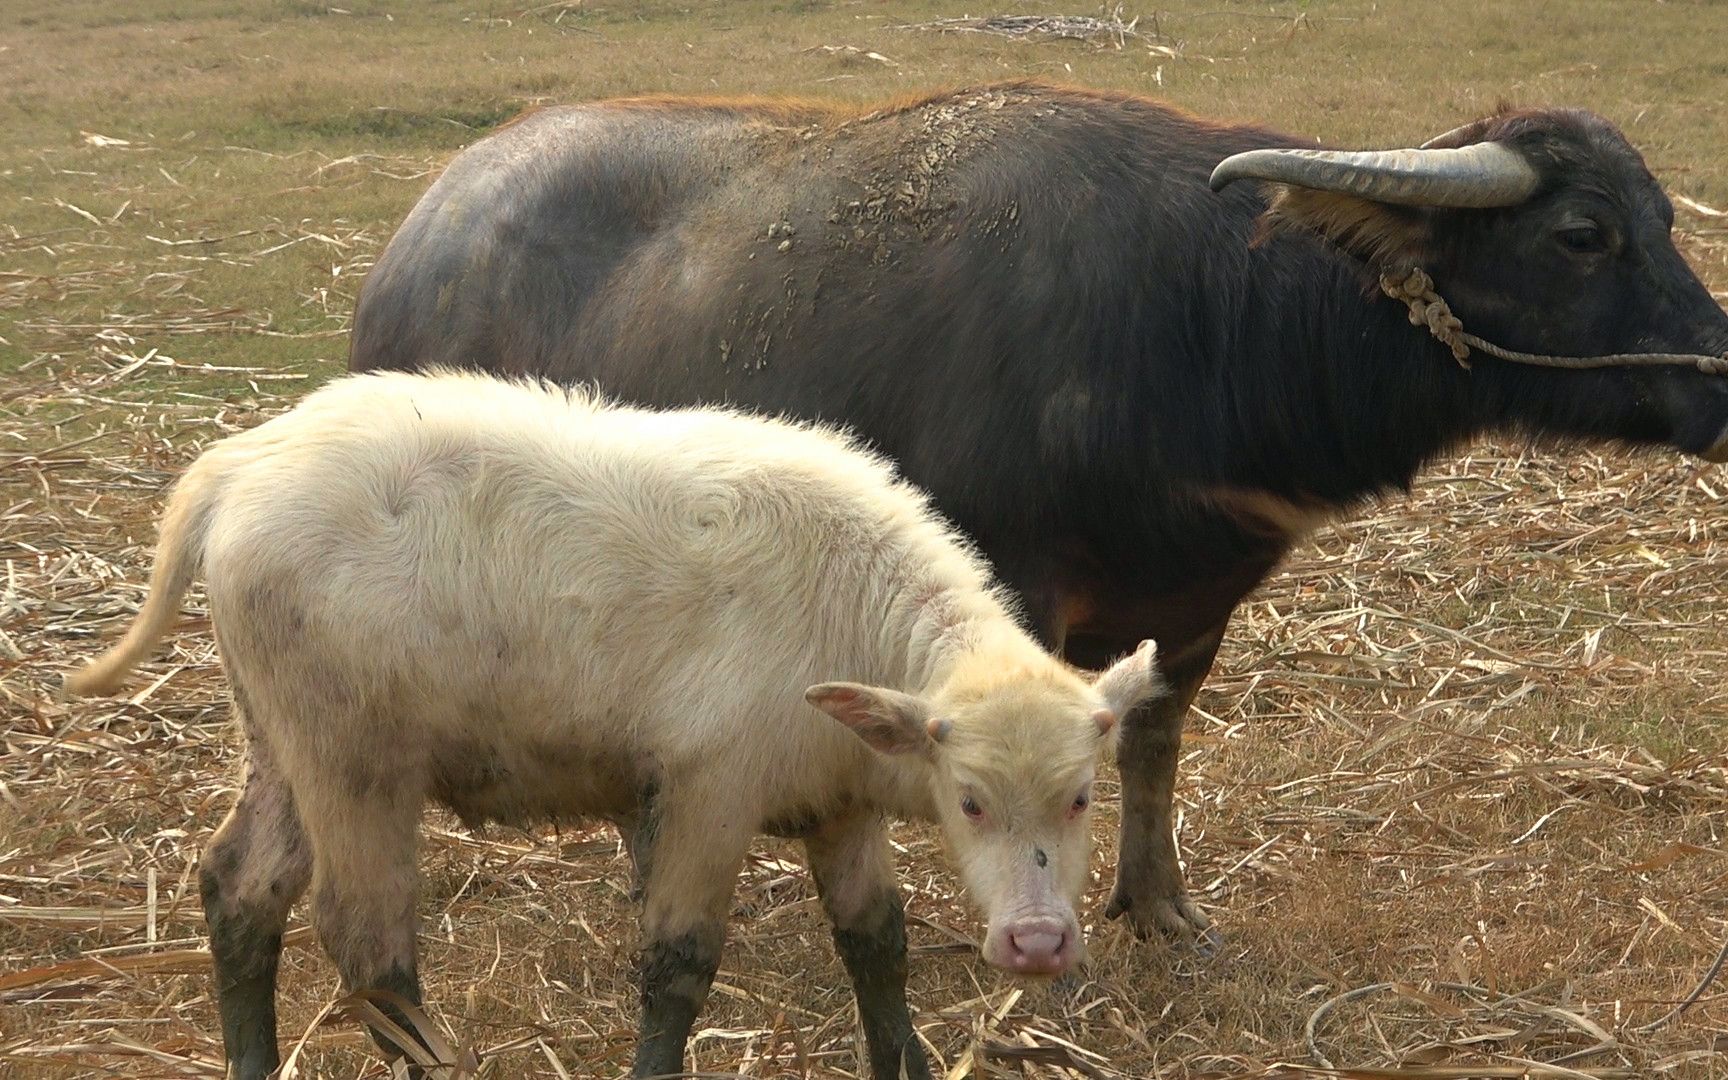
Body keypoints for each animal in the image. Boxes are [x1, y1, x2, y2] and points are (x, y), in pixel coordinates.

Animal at [74, 369, 1168, 1078]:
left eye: (1083, 797)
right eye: (970, 801)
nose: (1037, 944)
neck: (848, 609)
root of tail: (238, 467)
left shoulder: (840, 807)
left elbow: (877, 942)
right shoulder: (706, 794)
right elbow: (679, 967)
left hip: (283, 735)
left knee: (242, 887)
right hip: (355, 757)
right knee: (368, 942)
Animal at [347, 79, 1728, 946]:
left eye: (1665, 217)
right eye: (1584, 233)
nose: (1718, 381)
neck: (1208, 315)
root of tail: (412, 245)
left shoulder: (1194, 603)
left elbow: (1154, 752)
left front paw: (1159, 908)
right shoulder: (1013, 583)